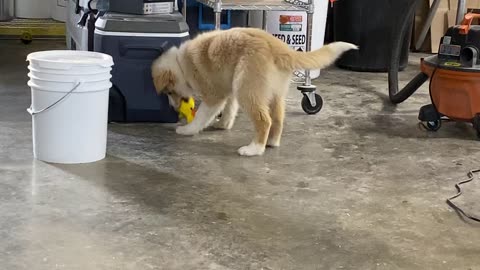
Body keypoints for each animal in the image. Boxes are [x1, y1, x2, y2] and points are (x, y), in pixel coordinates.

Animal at [152, 26, 358, 156]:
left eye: (169, 92)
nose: (174, 108)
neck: (181, 64)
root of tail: (281, 48)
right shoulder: (229, 89)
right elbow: (230, 109)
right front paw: (223, 125)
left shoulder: (214, 94)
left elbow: (203, 115)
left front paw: (187, 130)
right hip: (272, 92)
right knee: (277, 118)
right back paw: (272, 142)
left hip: (247, 88)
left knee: (264, 120)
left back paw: (254, 149)